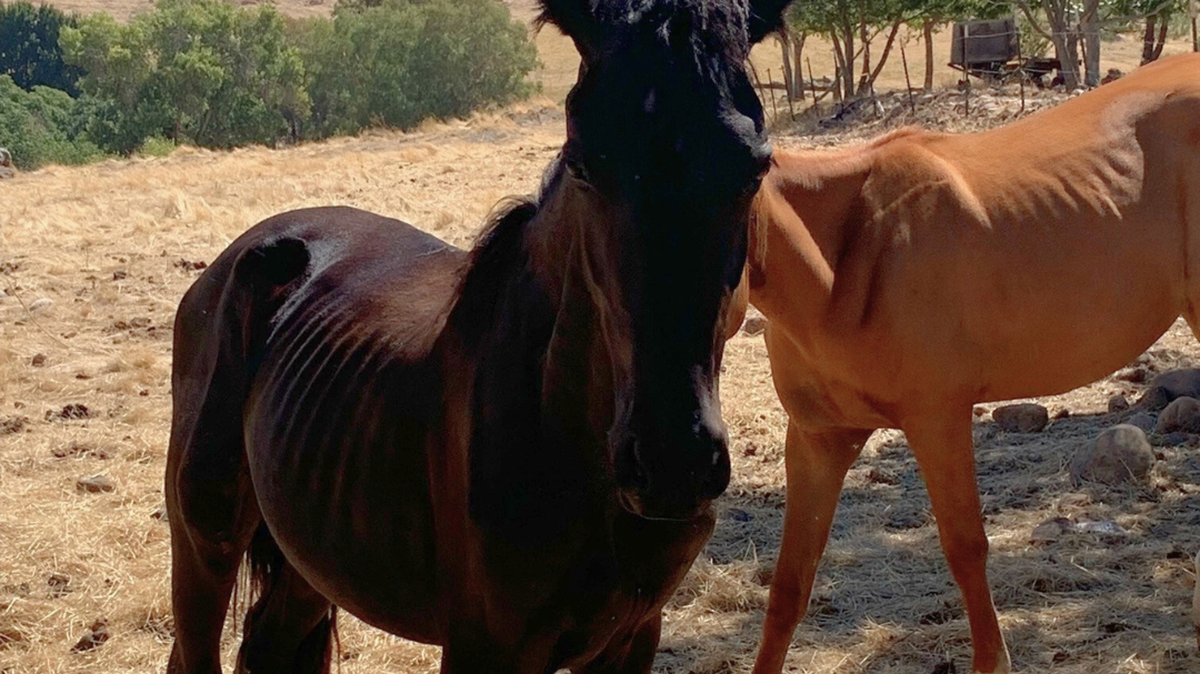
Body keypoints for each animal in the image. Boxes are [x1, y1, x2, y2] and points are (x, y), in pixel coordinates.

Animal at [164, 0, 796, 671]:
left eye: (756, 168)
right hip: (204, 542)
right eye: (582, 164)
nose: (673, 462)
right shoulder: (483, 643)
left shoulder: (632, 636)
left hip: (311, 561)